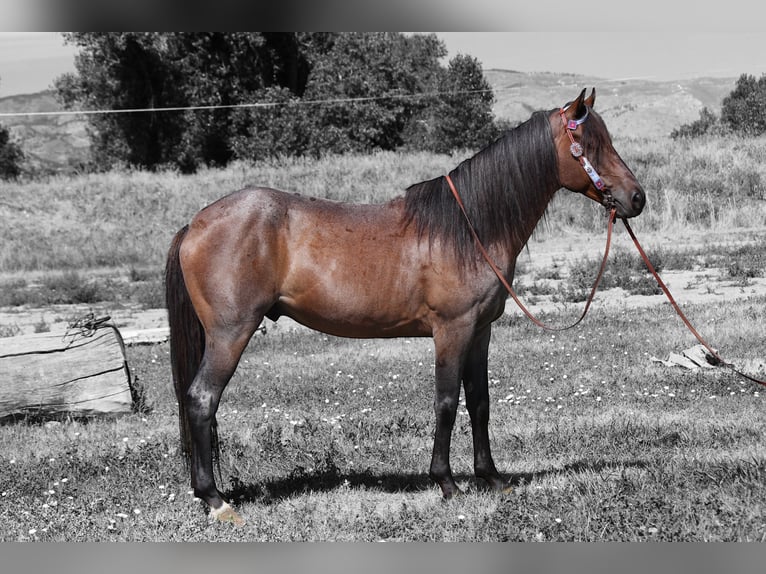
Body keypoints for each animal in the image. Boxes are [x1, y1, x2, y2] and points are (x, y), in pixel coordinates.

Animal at [165, 88, 645, 524]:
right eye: (591, 146)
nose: (637, 198)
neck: (468, 227)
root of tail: (195, 224)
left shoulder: (480, 331)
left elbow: (480, 401)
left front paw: (491, 478)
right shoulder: (452, 329)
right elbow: (447, 402)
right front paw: (446, 482)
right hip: (230, 334)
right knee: (202, 399)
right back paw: (216, 500)